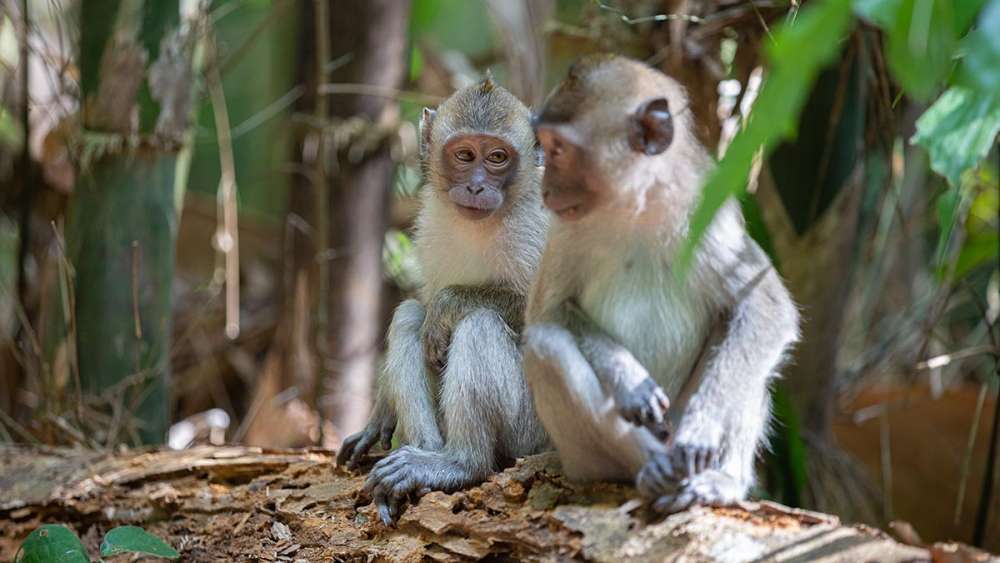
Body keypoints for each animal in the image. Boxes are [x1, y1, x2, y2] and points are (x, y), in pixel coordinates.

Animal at [340, 77, 552, 528]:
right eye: (464, 154)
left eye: (497, 157)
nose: (475, 186)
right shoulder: (431, 223)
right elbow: (423, 301)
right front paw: (381, 412)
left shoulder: (539, 229)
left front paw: (450, 303)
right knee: (409, 318)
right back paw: (421, 456)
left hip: (535, 431)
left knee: (479, 325)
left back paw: (460, 463)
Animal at [524, 55, 796, 512]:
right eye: (544, 143)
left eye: (558, 148)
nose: (545, 189)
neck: (637, 205)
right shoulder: (564, 231)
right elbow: (547, 313)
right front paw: (629, 380)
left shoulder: (710, 214)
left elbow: (764, 307)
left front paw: (703, 428)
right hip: (580, 455)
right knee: (546, 347)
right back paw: (653, 466)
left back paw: (721, 480)